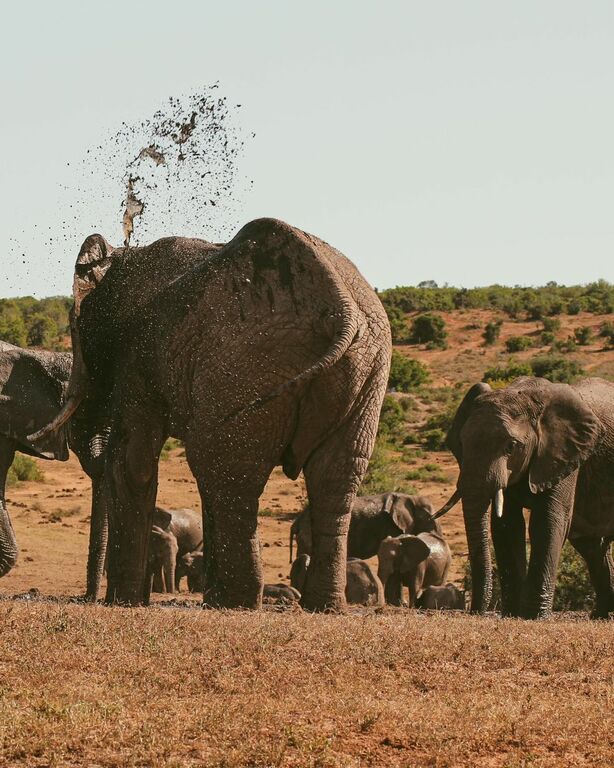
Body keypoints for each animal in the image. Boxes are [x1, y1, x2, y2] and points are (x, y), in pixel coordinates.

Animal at [31, 218, 391, 611]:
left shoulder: (137, 353)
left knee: (221, 466)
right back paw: (318, 606)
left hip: (246, 365)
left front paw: (123, 602)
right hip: (367, 367)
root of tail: (342, 308)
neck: (124, 256)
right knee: (334, 477)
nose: (91, 598)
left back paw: (236, 602)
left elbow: (131, 462)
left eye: (75, 326)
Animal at [436, 377, 614, 619]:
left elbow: (546, 521)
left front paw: (534, 616)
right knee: (591, 546)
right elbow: (507, 525)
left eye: (511, 446)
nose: (476, 612)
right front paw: (512, 614)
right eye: (462, 443)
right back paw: (602, 615)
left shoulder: (563, 455)